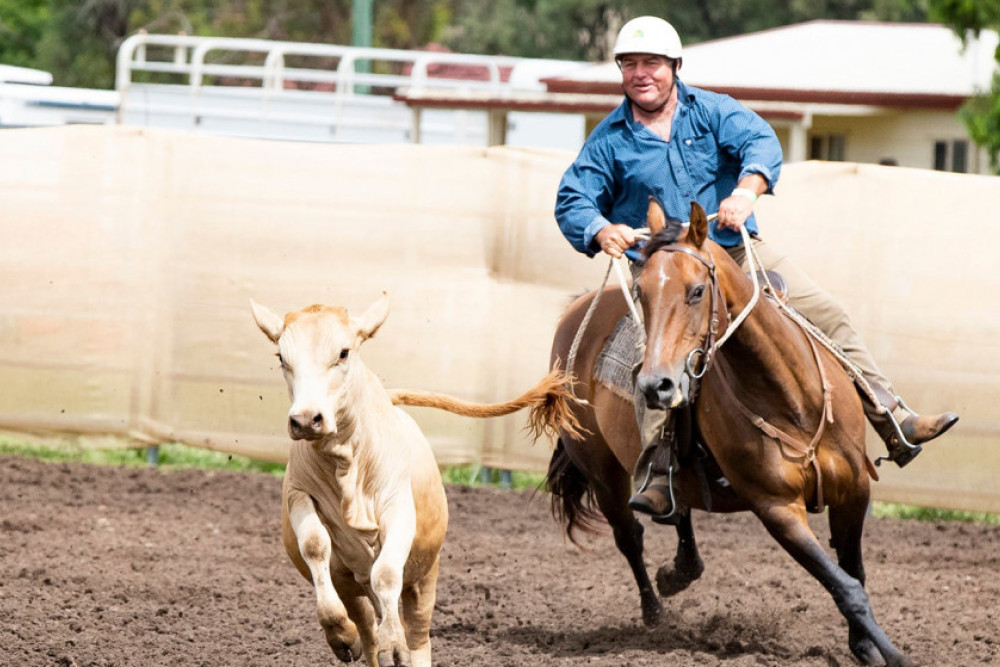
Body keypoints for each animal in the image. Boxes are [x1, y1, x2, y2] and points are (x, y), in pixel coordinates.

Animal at [548, 200, 916, 667]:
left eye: (696, 291)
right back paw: (654, 612)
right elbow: (845, 587)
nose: (654, 386)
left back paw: (679, 570)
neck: (790, 399)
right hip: (601, 472)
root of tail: (574, 312)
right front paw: (893, 654)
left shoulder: (854, 490)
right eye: (642, 294)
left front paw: (865, 647)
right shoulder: (776, 508)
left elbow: (855, 572)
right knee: (629, 536)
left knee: (678, 506)